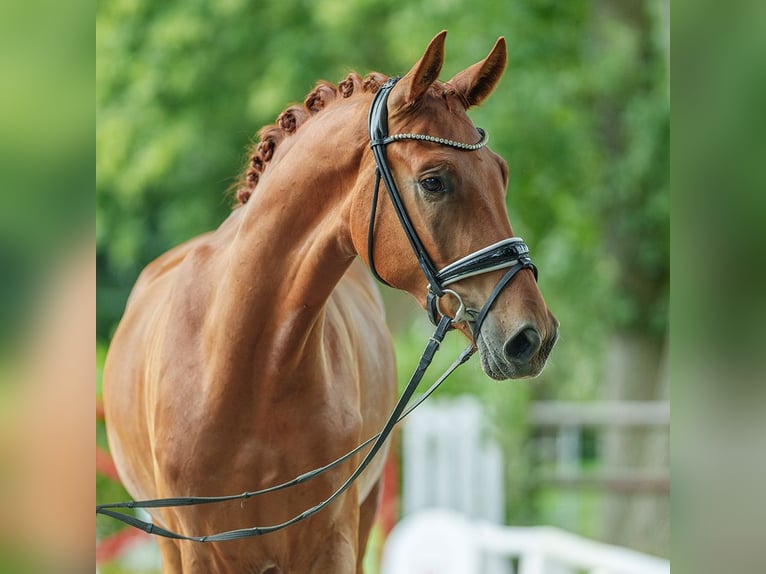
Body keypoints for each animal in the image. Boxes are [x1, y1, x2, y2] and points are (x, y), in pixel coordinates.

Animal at [102, 31, 560, 574]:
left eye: (501, 174)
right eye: (434, 181)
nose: (532, 336)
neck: (245, 365)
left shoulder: (332, 541)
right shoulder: (200, 552)